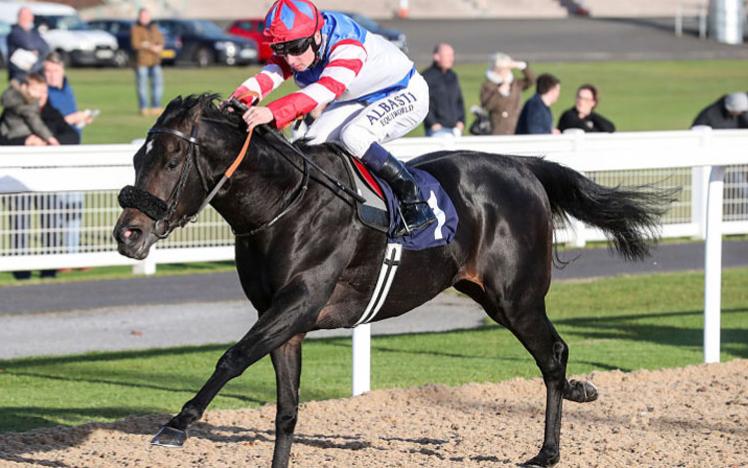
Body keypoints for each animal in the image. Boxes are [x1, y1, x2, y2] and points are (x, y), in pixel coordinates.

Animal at [112, 93, 672, 466]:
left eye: (172, 159)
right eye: (137, 158)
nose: (128, 233)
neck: (285, 201)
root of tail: (525, 166)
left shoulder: (299, 301)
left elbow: (231, 357)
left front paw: (176, 425)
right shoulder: (284, 321)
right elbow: (287, 409)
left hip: (517, 298)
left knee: (553, 355)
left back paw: (549, 449)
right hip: (491, 295)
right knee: (552, 356)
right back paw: (577, 398)